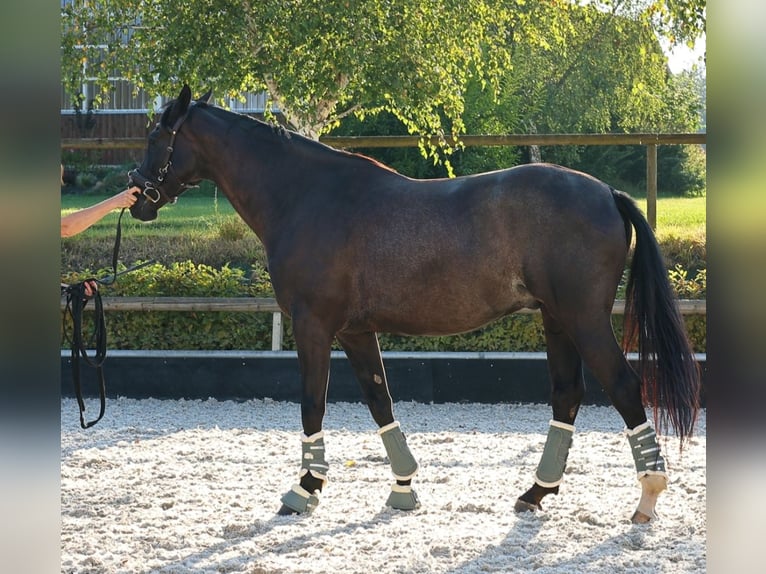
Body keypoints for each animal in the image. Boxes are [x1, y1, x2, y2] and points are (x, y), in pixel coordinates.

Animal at [129, 85, 700, 520]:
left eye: (156, 136)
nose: (136, 197)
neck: (307, 196)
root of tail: (607, 193)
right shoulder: (355, 330)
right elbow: (379, 399)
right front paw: (403, 488)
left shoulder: (313, 326)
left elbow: (312, 402)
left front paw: (305, 489)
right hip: (557, 321)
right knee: (567, 395)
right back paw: (536, 492)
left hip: (584, 320)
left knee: (624, 386)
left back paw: (647, 498)